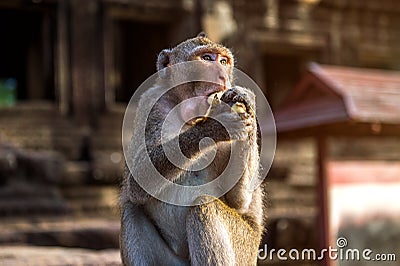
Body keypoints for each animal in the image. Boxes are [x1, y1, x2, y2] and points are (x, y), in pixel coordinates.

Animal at [120, 33, 264, 266]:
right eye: (206, 58)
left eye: (223, 61)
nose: (222, 76)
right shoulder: (150, 102)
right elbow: (137, 184)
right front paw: (214, 126)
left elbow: (240, 199)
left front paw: (247, 100)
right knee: (131, 209)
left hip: (245, 248)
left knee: (204, 205)